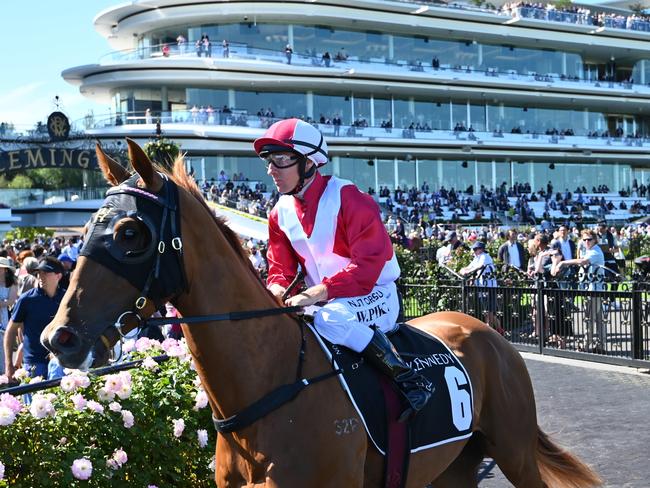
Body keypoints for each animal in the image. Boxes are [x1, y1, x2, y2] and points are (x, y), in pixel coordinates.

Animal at [40, 139, 600, 486]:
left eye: (130, 233)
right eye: (85, 228)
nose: (58, 338)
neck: (270, 388)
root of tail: (487, 330)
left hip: (514, 451)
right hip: (453, 468)